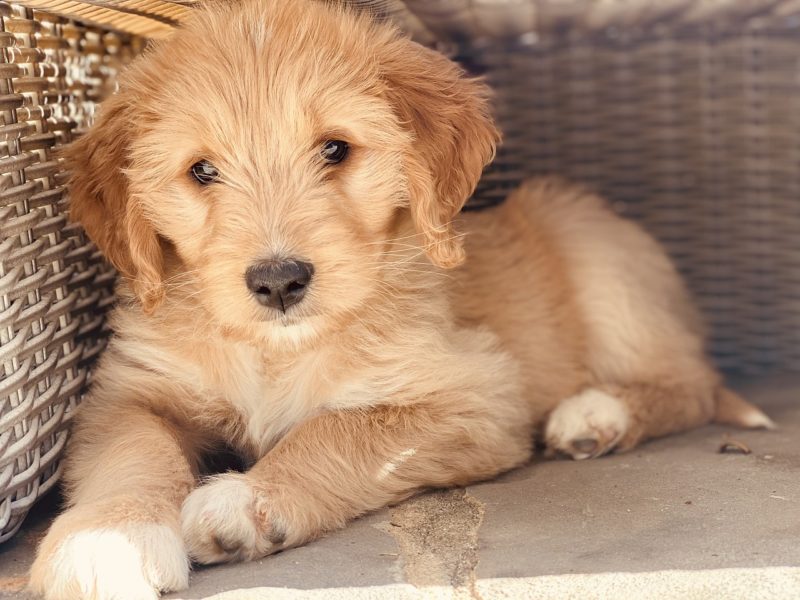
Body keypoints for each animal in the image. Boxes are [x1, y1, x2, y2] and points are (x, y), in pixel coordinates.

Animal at [28, 2, 772, 596]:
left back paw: (596, 414)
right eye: (202, 171)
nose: (278, 281)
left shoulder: (476, 394)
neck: (275, 352)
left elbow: (342, 428)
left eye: (335, 150)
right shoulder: (129, 391)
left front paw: (248, 499)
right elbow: (133, 450)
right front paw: (105, 541)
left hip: (598, 257)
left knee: (692, 385)